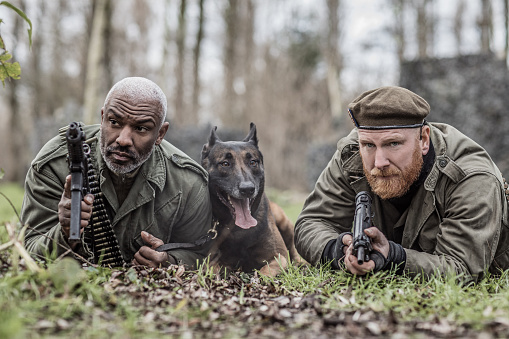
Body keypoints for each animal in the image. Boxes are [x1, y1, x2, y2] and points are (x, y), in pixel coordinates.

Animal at [199, 123, 302, 278]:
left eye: (253, 162)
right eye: (225, 163)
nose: (247, 189)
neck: (238, 229)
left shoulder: (279, 257)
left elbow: (265, 272)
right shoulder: (211, 260)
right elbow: (213, 268)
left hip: (284, 222)